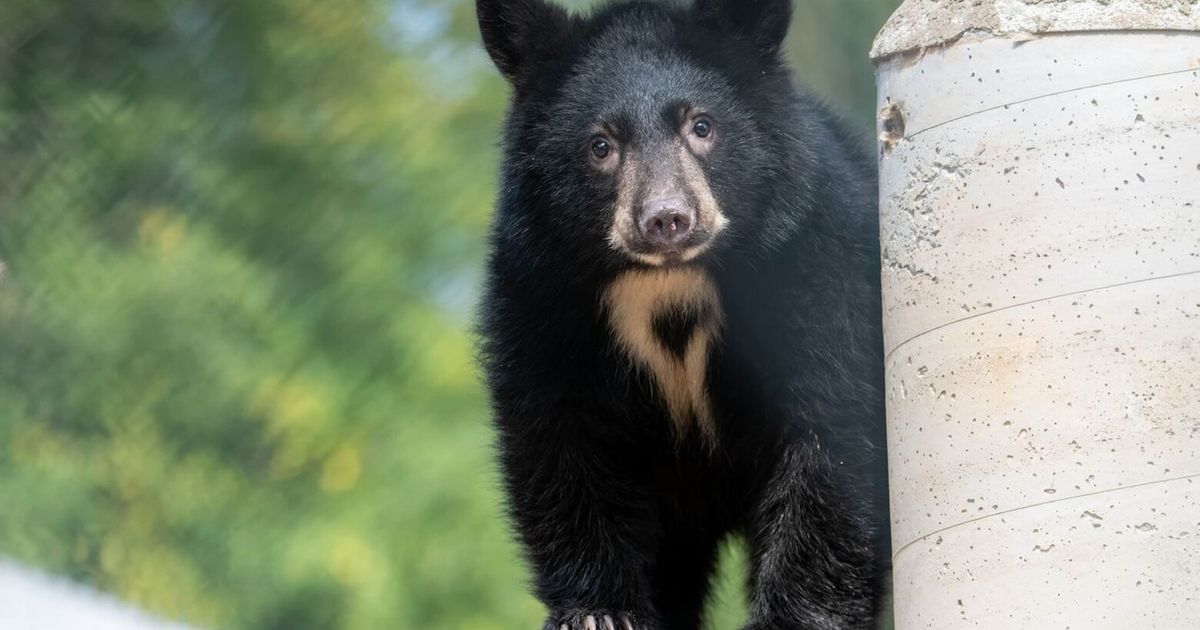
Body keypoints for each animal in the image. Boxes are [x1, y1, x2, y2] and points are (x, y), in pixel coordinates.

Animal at [475, 1, 889, 628]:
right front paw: (598, 611)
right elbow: (561, 438)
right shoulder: (543, 293)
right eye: (601, 145)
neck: (667, 280)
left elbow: (833, 430)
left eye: (701, 126)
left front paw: (791, 617)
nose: (666, 219)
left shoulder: (814, 266)